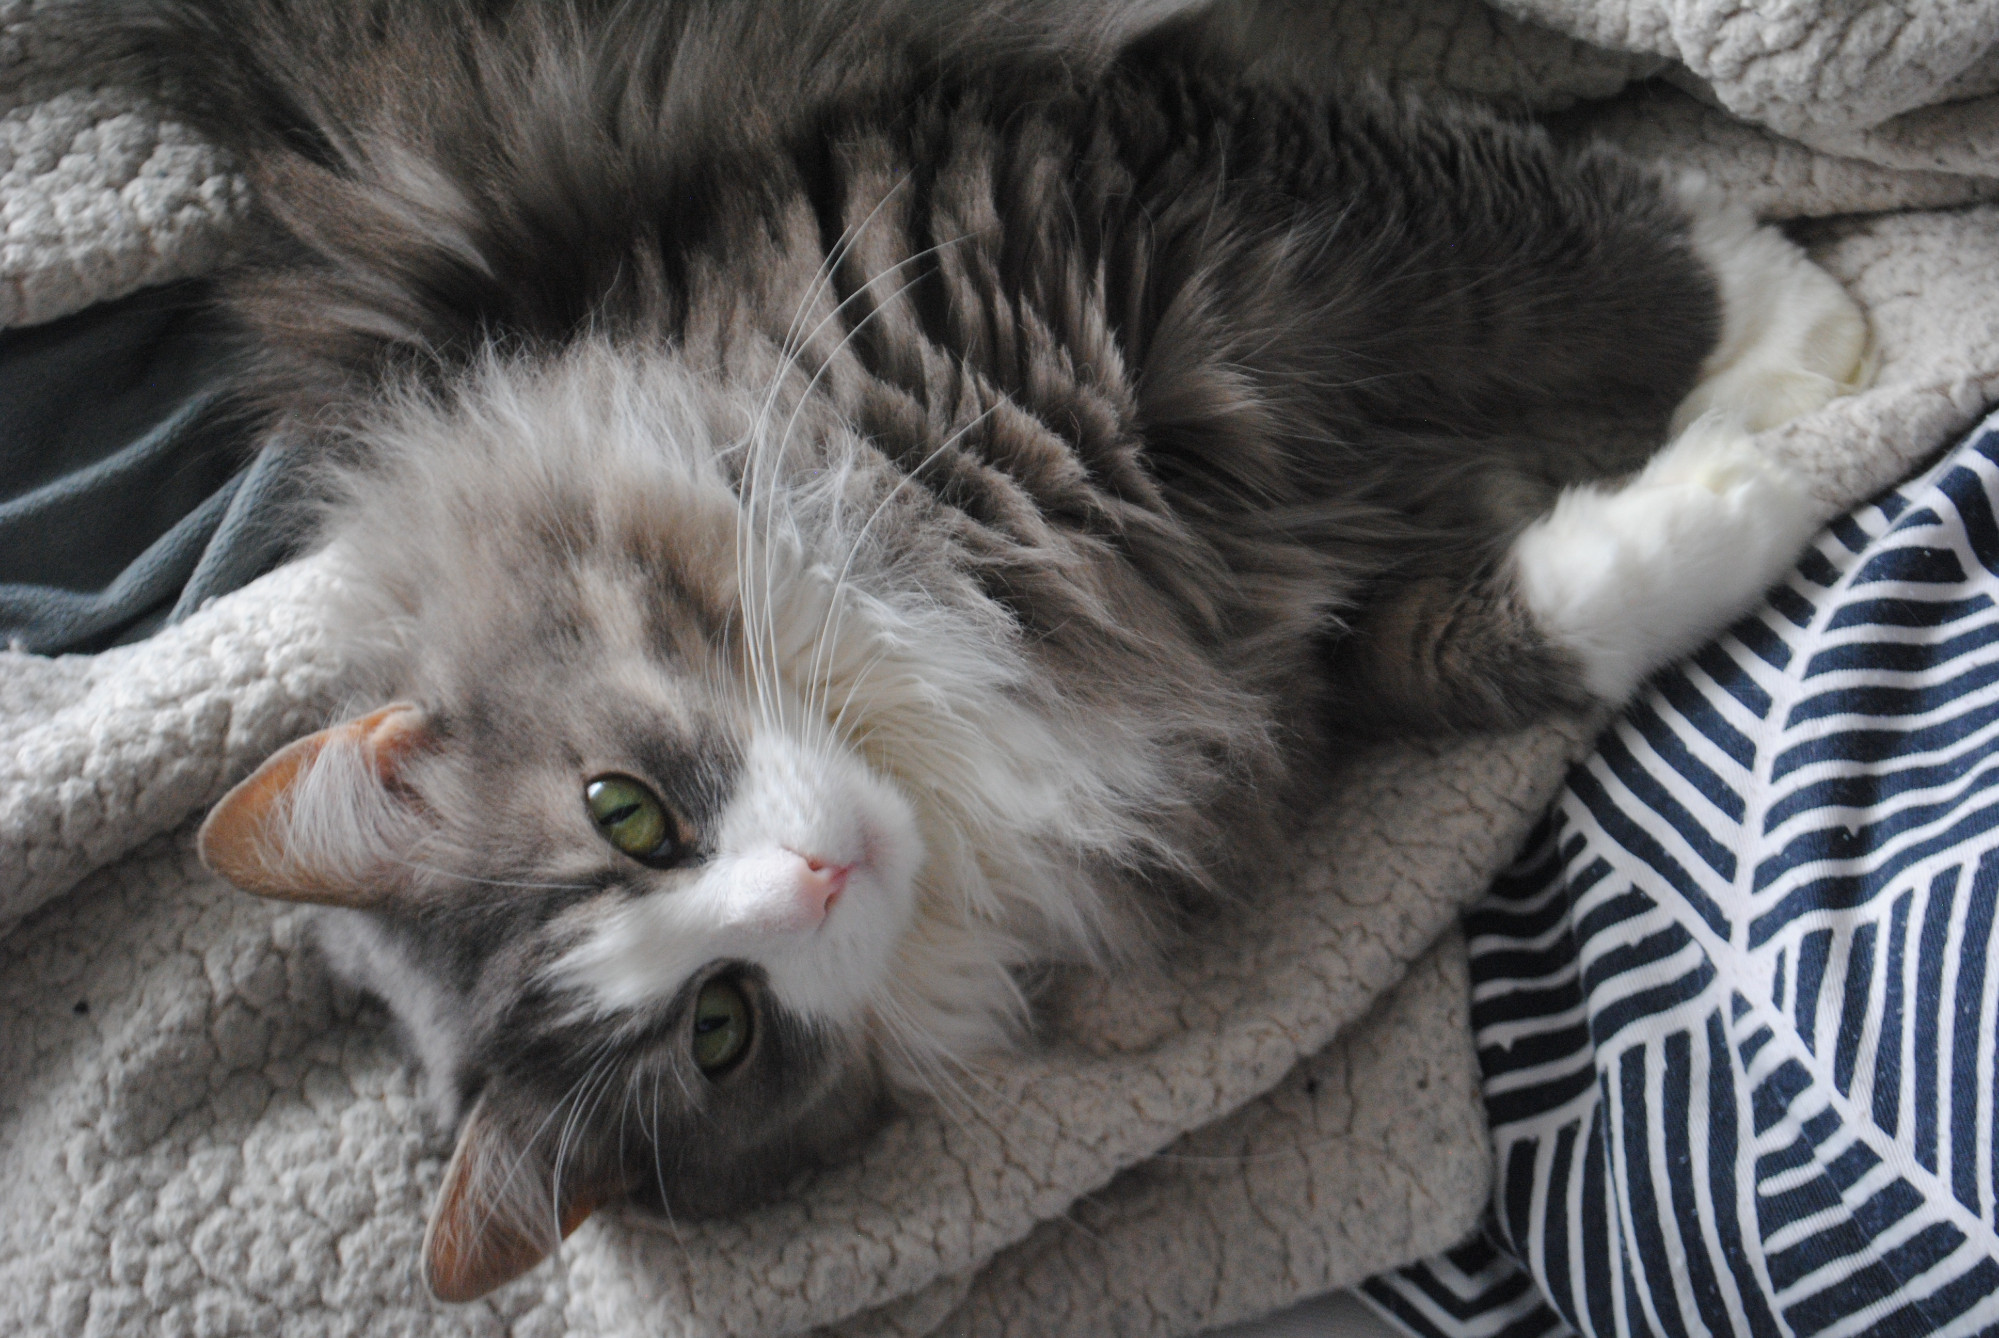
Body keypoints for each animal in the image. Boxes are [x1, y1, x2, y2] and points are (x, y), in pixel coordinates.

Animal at [89, 0, 1871, 1296]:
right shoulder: (1265, 613)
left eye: (625, 811)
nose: (816, 875)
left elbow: (1598, 262)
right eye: (723, 1029)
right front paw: (1743, 478)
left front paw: (1811, 333)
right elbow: (1502, 632)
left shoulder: (1167, 226)